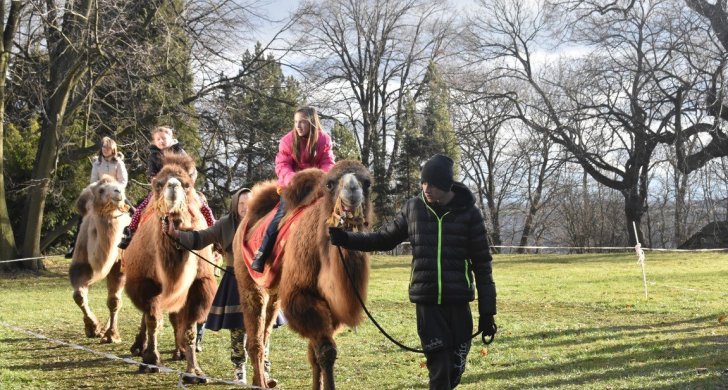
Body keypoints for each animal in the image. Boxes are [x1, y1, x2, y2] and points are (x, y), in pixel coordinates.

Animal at [69, 175, 132, 342]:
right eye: (101, 190)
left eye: (120, 187)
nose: (118, 192)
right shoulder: (80, 263)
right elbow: (79, 296)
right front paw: (92, 328)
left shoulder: (120, 264)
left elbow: (114, 300)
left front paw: (111, 335)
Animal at [121, 152, 218, 380]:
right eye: (158, 183)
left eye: (187, 184)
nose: (173, 186)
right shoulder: (145, 282)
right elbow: (152, 320)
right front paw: (150, 360)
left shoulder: (199, 284)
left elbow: (189, 326)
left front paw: (194, 370)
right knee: (148, 316)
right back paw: (139, 347)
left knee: (175, 317)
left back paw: (179, 350)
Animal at [233, 160, 372, 388]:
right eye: (330, 184)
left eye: (367, 183)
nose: (352, 190)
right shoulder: (301, 295)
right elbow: (326, 351)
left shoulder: (331, 307)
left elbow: (315, 353)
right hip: (249, 281)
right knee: (255, 338)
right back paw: (260, 383)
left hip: (275, 292)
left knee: (266, 330)